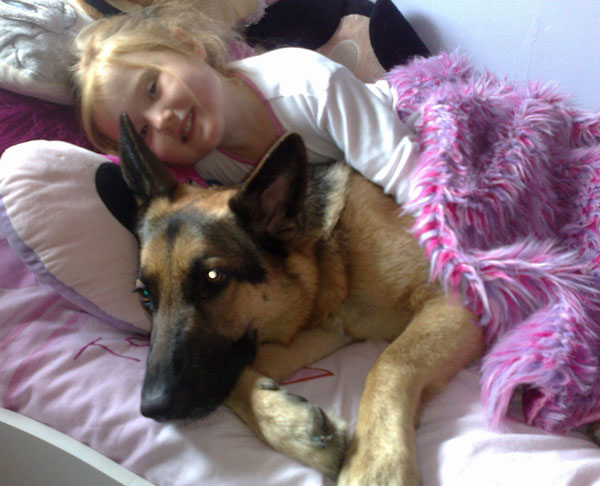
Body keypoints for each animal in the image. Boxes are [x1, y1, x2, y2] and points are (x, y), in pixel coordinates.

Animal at [119, 114, 486, 486]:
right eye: (146, 295)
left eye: (213, 277)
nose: (153, 407)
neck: (332, 256)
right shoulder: (324, 332)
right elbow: (236, 375)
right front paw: (290, 426)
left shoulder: (454, 303)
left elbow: (391, 362)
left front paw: (375, 465)